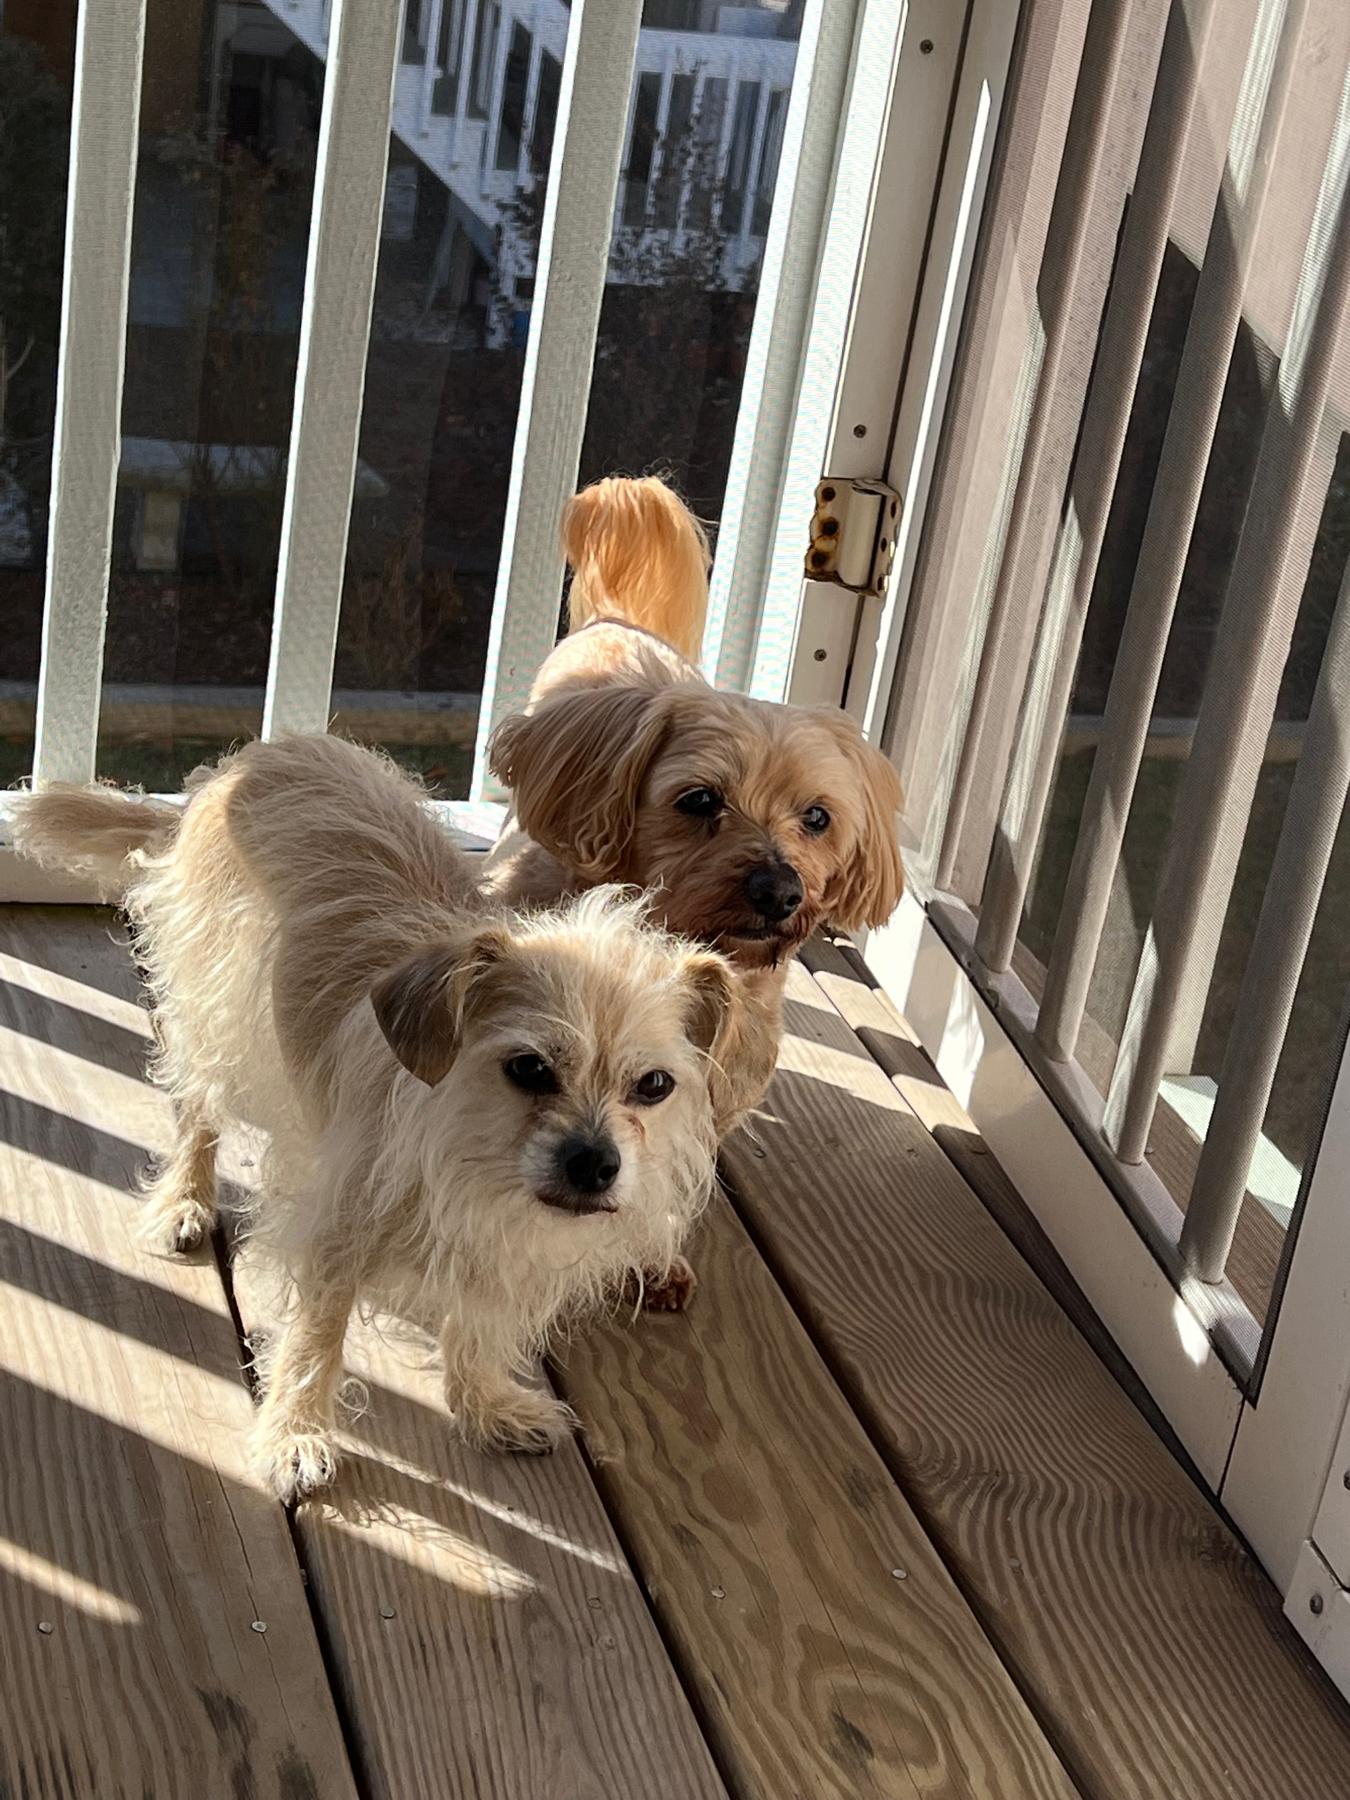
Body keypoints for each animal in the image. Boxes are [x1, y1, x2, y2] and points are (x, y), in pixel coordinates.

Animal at [13, 738, 741, 1497]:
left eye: (654, 1086)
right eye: (530, 1068)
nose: (597, 1164)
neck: (464, 1150)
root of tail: (257, 758)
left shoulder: (500, 1255)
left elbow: (478, 1327)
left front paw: (485, 1404)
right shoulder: (338, 1228)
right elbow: (315, 1334)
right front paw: (294, 1433)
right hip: (217, 1019)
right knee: (197, 1111)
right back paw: (184, 1197)